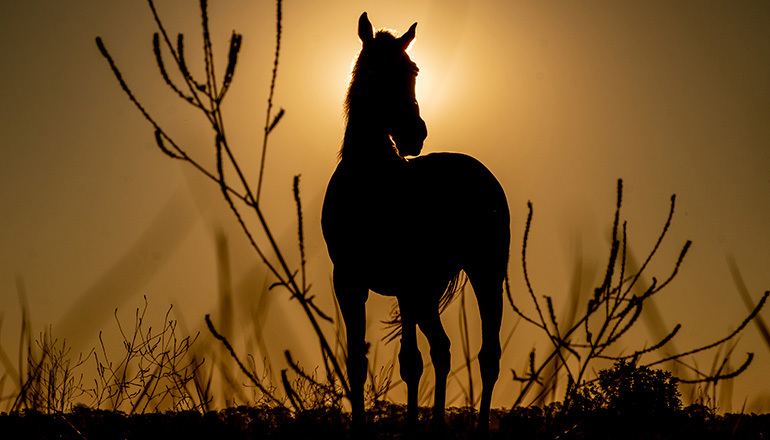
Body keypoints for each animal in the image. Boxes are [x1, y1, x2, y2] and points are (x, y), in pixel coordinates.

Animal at [320, 12, 510, 432]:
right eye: (374, 70)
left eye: (414, 70)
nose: (414, 134)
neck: (370, 181)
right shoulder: (350, 282)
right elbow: (356, 364)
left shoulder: (406, 281)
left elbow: (410, 363)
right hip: (430, 289)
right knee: (443, 349)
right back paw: (437, 425)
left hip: (484, 273)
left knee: (487, 356)